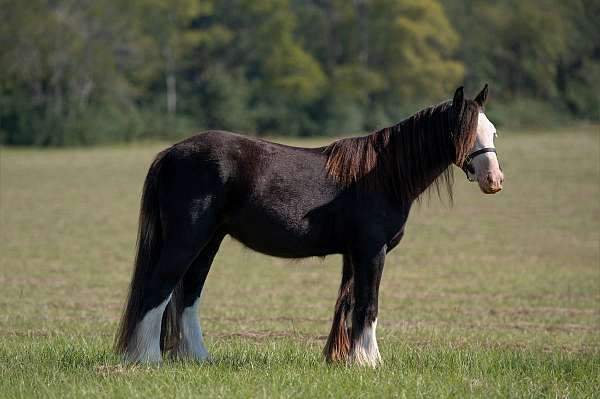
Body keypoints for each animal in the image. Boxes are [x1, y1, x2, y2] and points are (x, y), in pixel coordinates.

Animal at [115, 86, 504, 368]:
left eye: (493, 132)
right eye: (464, 132)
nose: (494, 180)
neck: (381, 176)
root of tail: (169, 153)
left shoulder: (353, 255)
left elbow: (348, 304)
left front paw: (343, 359)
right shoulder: (371, 251)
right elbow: (368, 306)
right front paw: (370, 362)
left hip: (209, 241)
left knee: (188, 295)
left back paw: (198, 358)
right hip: (186, 240)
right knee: (158, 289)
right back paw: (147, 359)